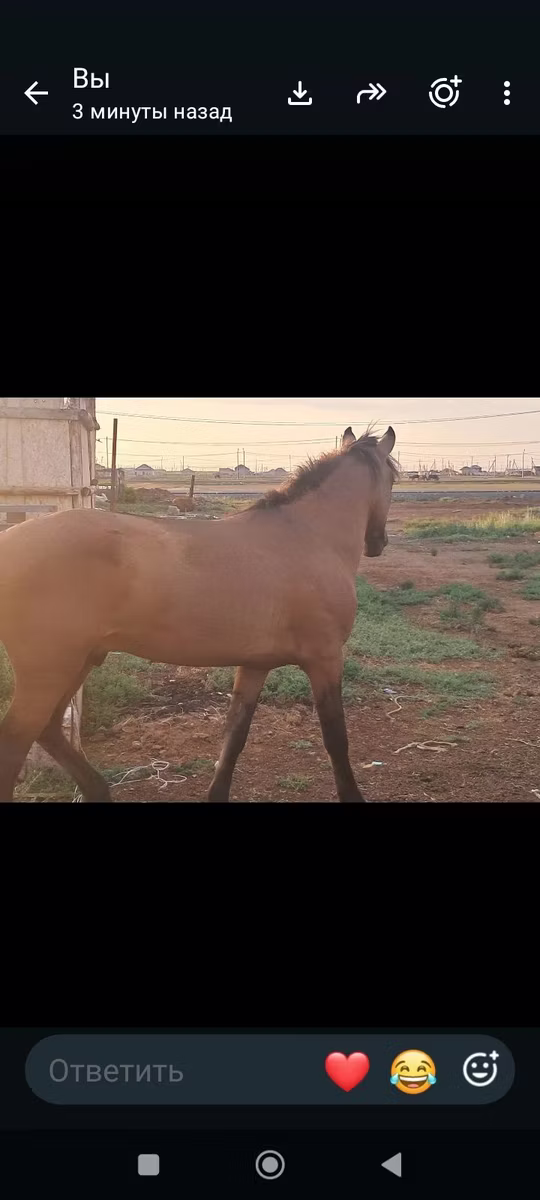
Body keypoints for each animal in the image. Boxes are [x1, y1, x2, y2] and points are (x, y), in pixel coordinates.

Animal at [0, 426, 397, 803]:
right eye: (393, 478)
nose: (379, 543)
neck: (307, 535)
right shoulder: (325, 659)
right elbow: (336, 738)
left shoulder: (255, 665)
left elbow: (234, 736)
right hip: (49, 672)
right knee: (16, 743)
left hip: (78, 663)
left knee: (49, 729)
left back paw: (98, 790)